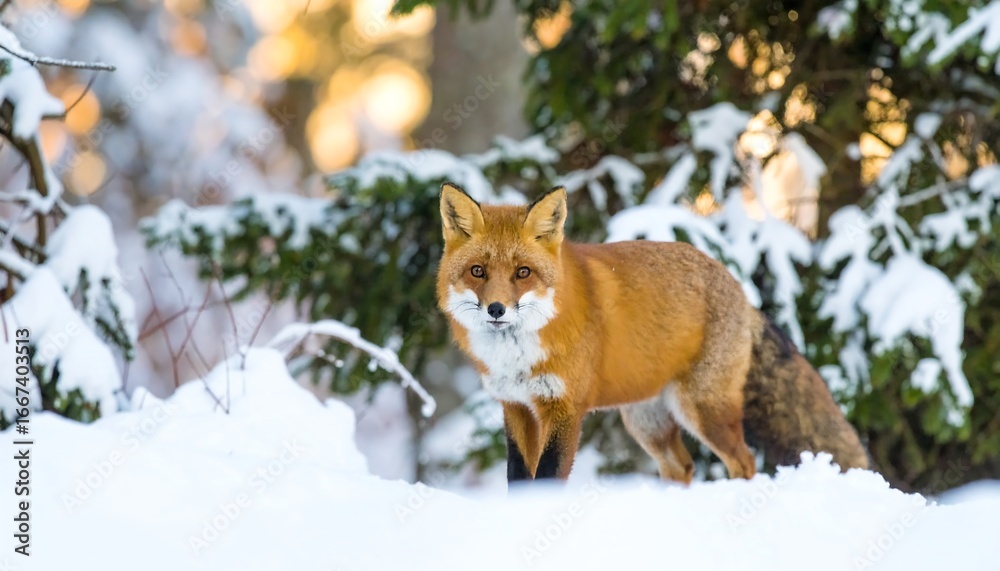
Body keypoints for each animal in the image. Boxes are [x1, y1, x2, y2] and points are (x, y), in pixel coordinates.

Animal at [436, 182, 868, 483]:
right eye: (477, 271)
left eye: (523, 273)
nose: (496, 309)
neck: (517, 357)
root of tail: (738, 288)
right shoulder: (516, 407)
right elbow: (518, 479)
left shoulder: (564, 409)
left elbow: (546, 477)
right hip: (647, 422)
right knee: (682, 467)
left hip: (702, 409)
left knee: (743, 462)